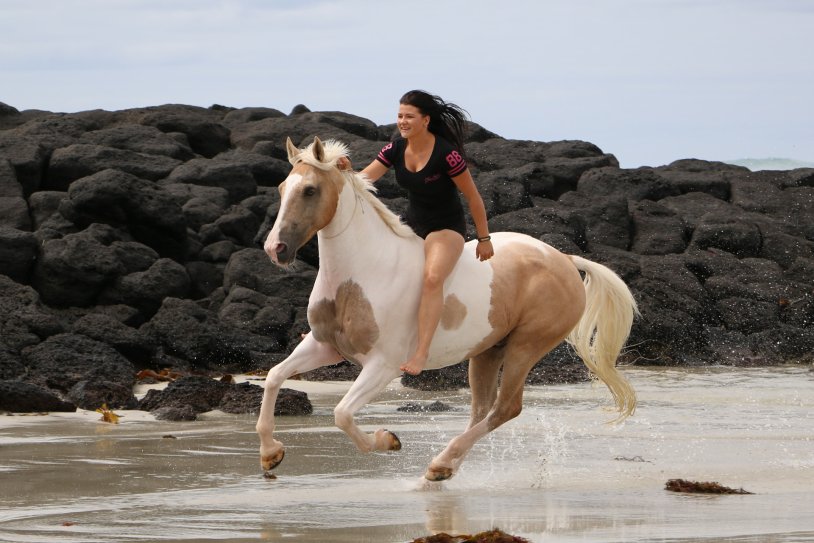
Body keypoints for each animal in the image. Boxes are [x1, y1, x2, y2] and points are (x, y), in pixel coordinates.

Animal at [257, 136, 638, 481]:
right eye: (282, 188)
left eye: (309, 190)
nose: (276, 249)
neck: (362, 274)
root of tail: (564, 260)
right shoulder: (325, 346)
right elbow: (274, 376)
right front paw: (270, 454)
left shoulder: (382, 365)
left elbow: (342, 414)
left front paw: (388, 440)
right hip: (487, 351)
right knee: (482, 410)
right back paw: (445, 466)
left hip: (526, 347)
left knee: (506, 408)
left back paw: (440, 464)